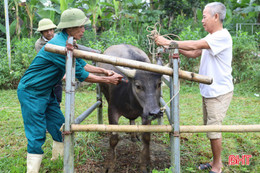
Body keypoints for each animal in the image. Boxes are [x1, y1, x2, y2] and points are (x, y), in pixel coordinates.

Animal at [97, 44, 162, 172]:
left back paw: (133, 134)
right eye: (138, 86)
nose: (155, 113)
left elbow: (146, 137)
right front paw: (109, 165)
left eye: (159, 84)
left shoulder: (145, 113)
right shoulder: (112, 110)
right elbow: (114, 139)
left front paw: (145, 164)